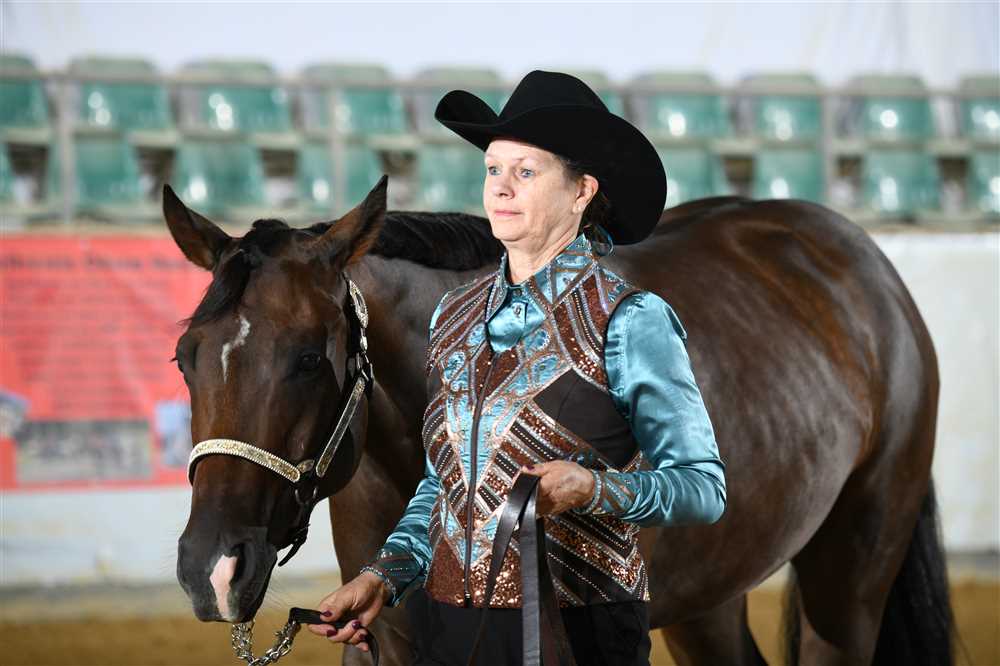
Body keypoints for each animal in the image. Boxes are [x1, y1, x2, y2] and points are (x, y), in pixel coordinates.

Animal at [170, 174, 957, 665]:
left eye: (309, 358)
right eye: (185, 356)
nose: (210, 570)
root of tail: (866, 264)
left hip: (850, 577)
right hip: (710, 595)